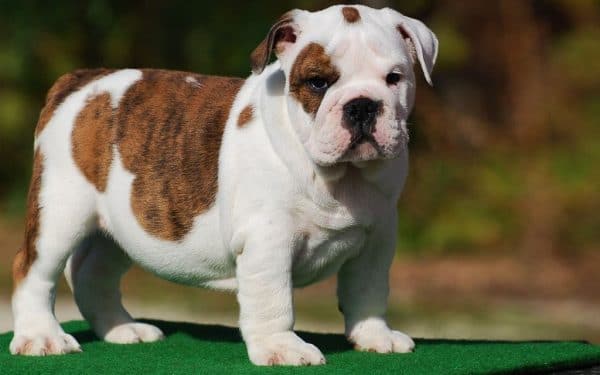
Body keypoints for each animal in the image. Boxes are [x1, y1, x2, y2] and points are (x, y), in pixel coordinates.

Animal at [10, 4, 436, 366]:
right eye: (317, 82)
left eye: (394, 78)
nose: (362, 105)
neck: (340, 175)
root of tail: (83, 78)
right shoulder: (268, 241)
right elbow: (274, 300)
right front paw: (282, 348)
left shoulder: (377, 239)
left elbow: (368, 292)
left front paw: (374, 336)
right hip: (59, 211)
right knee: (34, 271)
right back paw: (41, 337)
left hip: (123, 225)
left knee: (91, 271)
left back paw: (122, 329)